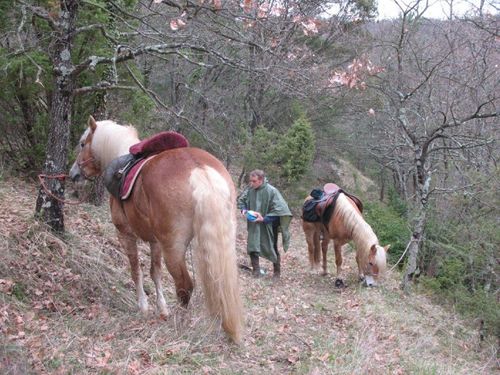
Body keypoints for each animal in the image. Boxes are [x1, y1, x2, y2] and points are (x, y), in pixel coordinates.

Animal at [69, 117, 244, 344]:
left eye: (82, 144)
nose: (73, 174)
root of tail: (198, 169)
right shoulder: (155, 241)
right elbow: (155, 273)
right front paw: (162, 308)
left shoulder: (125, 234)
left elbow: (136, 271)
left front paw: (143, 306)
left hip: (173, 247)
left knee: (185, 285)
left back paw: (180, 323)